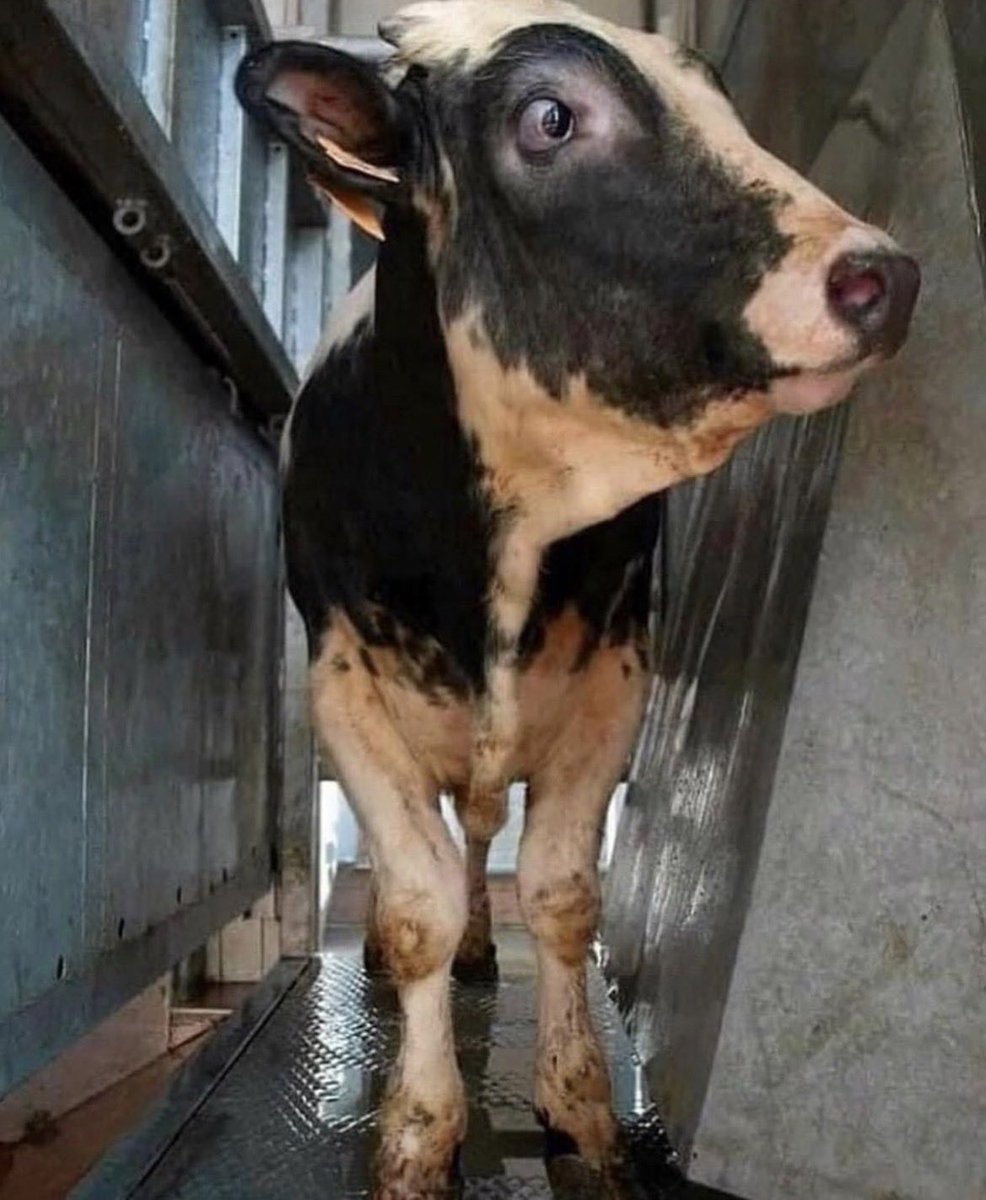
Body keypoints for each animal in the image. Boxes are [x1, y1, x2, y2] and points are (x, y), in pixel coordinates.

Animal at [236, 3, 919, 1196]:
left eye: (718, 104)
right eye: (550, 117)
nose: (878, 275)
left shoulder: (610, 682)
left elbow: (559, 898)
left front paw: (579, 1108)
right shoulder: (345, 691)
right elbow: (413, 906)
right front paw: (417, 1131)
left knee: (478, 829)